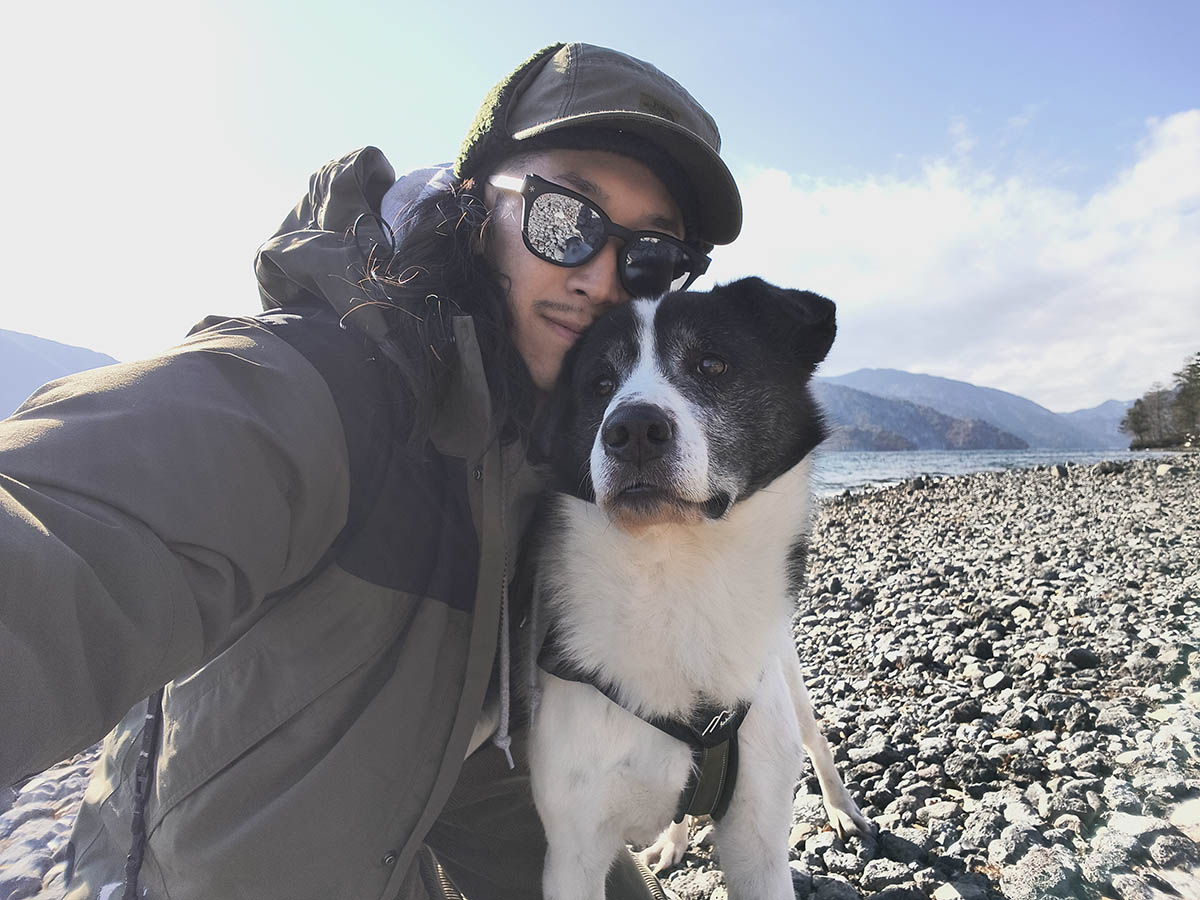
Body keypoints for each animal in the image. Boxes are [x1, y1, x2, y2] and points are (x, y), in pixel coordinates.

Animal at [523, 277, 872, 900]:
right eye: (600, 383)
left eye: (711, 364)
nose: (633, 429)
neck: (675, 574)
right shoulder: (572, 846)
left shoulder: (759, 837)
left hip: (788, 678)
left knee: (818, 739)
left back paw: (841, 809)